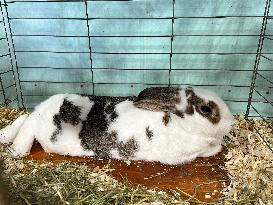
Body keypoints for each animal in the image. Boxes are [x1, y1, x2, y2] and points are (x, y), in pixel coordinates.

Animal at [0, 86, 234, 165]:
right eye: (206, 109)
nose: (231, 121)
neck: (176, 123)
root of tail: (44, 108)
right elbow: (213, 149)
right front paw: (219, 146)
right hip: (42, 127)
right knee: (28, 125)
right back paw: (17, 149)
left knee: (24, 118)